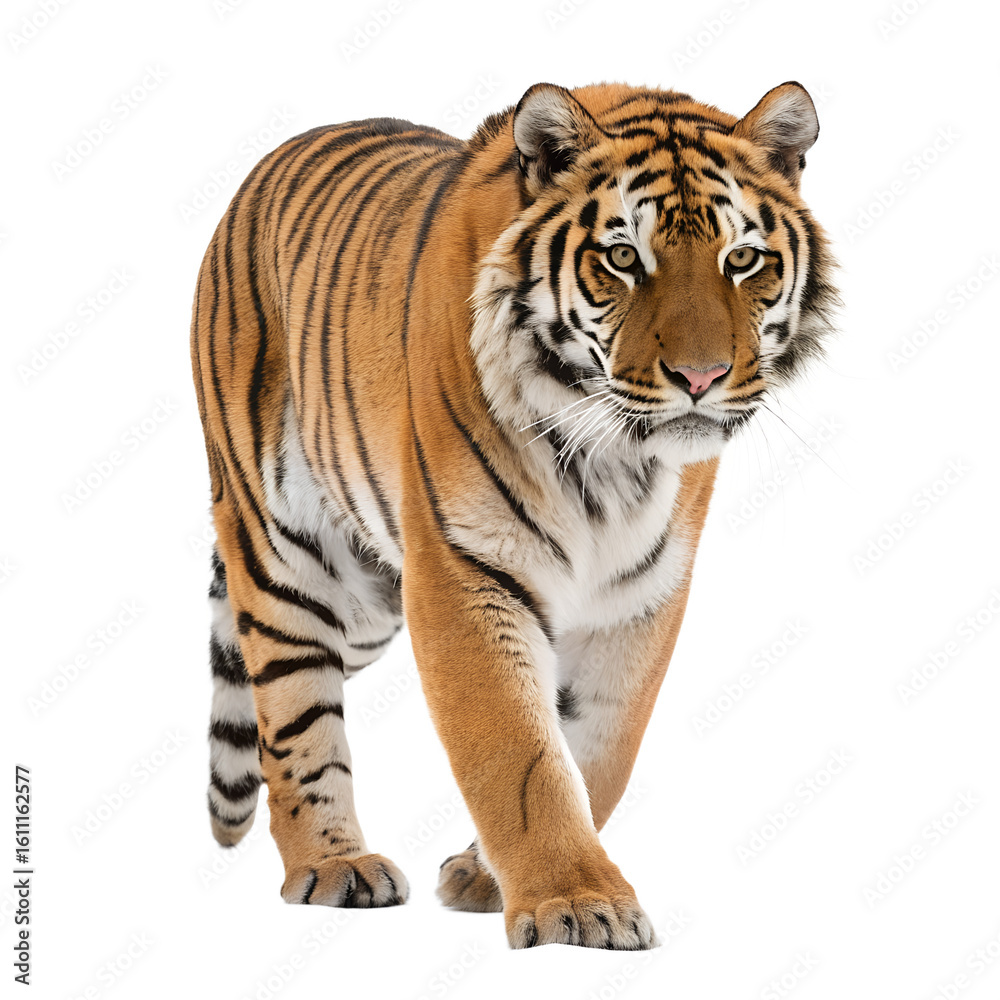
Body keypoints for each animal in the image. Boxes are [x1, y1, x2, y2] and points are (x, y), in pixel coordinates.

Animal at [190, 79, 837, 950]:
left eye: (742, 260)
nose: (700, 378)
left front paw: (488, 876)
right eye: (623, 258)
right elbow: (517, 753)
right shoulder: (464, 573)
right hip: (290, 562)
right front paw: (576, 903)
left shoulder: (641, 592)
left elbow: (601, 744)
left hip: (367, 601)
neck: (613, 458)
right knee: (289, 712)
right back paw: (334, 865)